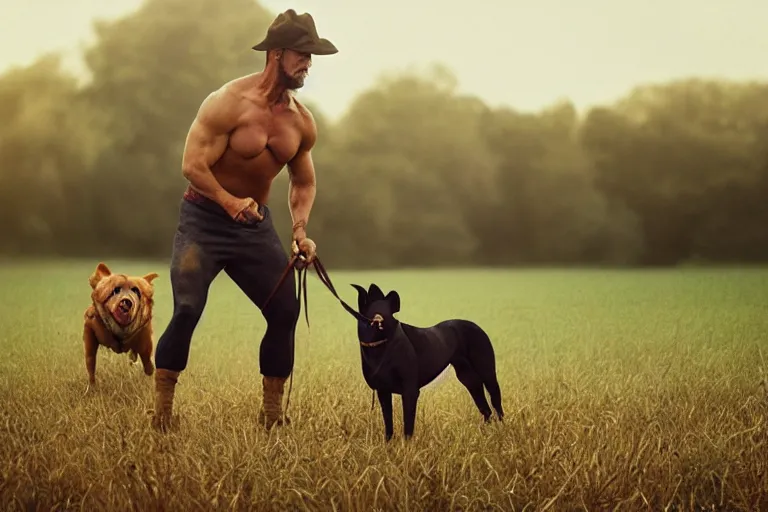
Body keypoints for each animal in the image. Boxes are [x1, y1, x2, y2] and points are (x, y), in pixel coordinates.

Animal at [83, 262, 160, 390]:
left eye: (136, 291)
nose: (126, 301)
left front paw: (150, 370)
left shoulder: (145, 333)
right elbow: (90, 359)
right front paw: (92, 385)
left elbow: (146, 354)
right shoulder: (90, 329)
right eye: (116, 290)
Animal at [350, 282, 504, 442]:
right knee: (486, 409)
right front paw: (388, 444)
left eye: (388, 314)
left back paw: (501, 430)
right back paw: (485, 435)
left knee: (496, 402)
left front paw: (407, 446)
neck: (379, 348)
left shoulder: (410, 391)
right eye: (371, 314)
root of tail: (476, 326)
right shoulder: (383, 391)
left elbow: (408, 425)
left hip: (487, 373)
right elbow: (388, 424)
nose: (379, 322)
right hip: (469, 378)